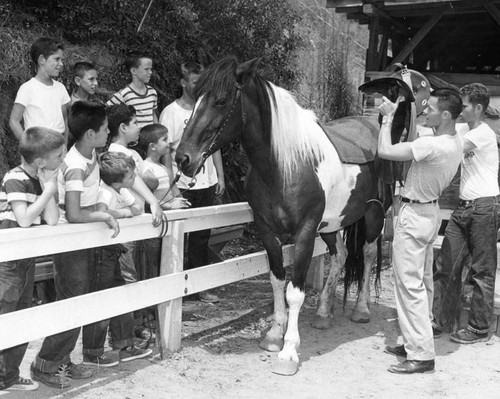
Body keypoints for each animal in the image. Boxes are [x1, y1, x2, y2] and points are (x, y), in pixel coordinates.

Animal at [176, 57, 414, 376]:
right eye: (195, 98)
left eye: (221, 100)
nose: (182, 158)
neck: (286, 166)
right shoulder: (266, 230)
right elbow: (277, 280)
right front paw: (274, 335)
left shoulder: (305, 232)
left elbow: (295, 291)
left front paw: (288, 352)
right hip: (332, 224)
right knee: (340, 256)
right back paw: (324, 312)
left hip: (373, 216)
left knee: (367, 255)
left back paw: (361, 309)